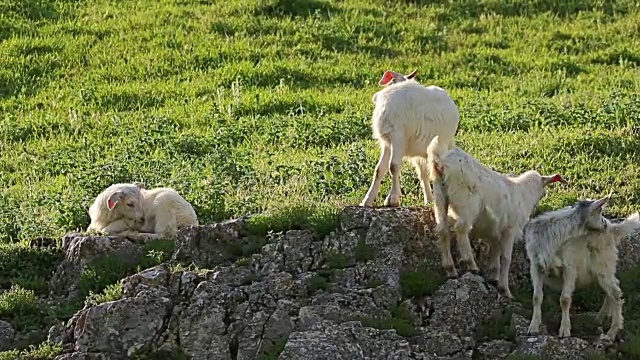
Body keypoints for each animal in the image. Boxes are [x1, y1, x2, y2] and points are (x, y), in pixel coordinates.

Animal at [360, 69, 460, 207]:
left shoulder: (398, 137)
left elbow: (393, 166)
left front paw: (393, 199)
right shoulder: (387, 143)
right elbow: (379, 169)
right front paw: (367, 200)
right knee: (424, 173)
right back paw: (429, 199)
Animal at [424, 135, 564, 298]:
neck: (523, 193)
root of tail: (440, 160)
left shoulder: (495, 232)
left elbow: (495, 256)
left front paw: (495, 278)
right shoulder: (509, 228)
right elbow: (506, 258)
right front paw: (505, 289)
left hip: (439, 195)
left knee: (442, 230)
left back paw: (450, 268)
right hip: (467, 202)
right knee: (461, 229)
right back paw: (471, 263)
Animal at [524, 195, 640, 342]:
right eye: (599, 211)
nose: (605, 224)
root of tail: (614, 229)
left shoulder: (569, 266)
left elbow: (565, 299)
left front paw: (565, 330)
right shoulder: (536, 266)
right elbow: (536, 297)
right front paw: (533, 327)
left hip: (603, 264)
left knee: (615, 292)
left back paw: (611, 333)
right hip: (601, 270)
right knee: (612, 289)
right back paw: (599, 319)